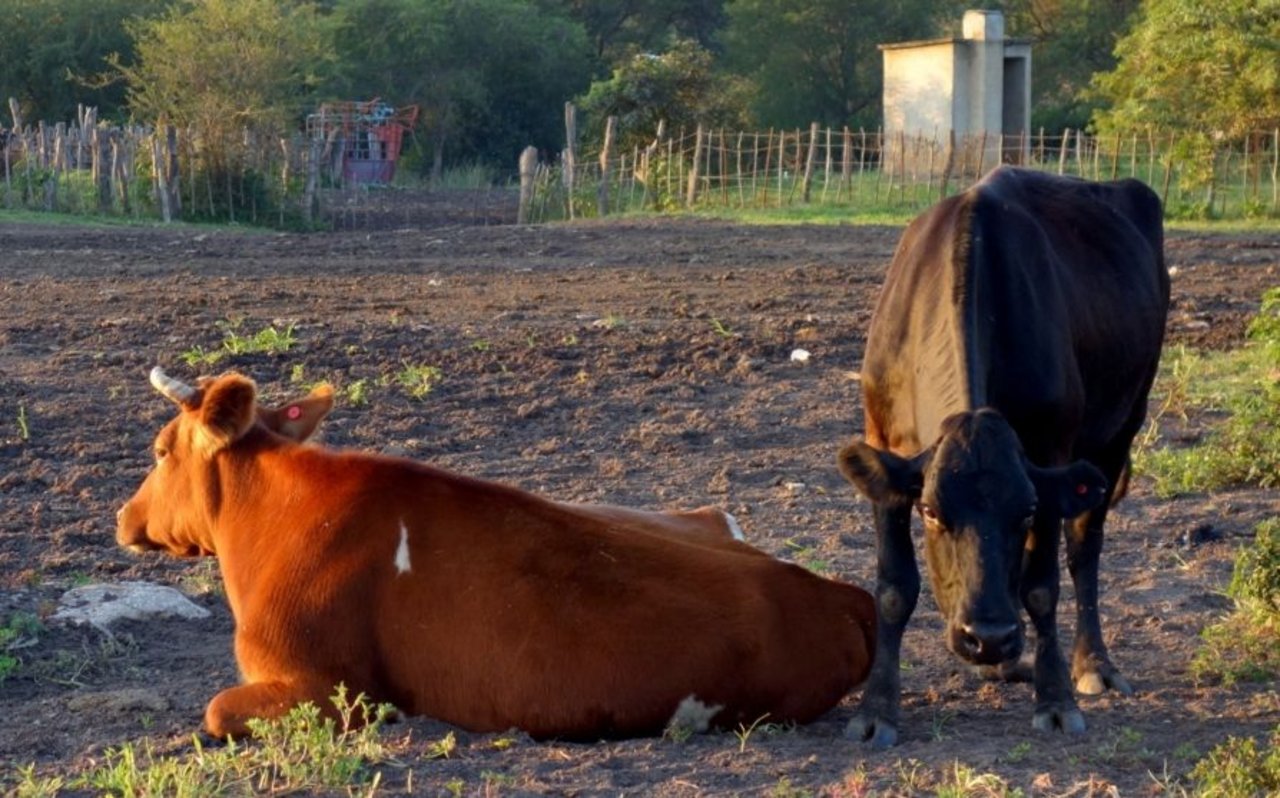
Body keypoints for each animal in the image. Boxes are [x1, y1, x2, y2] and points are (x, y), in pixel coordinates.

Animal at [120, 368, 875, 742]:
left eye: (159, 451)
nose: (123, 516)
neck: (278, 518)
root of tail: (839, 592)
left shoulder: (331, 691)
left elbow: (217, 711)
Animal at [839, 166, 1172, 748]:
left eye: (1026, 510)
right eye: (931, 511)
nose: (989, 637)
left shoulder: (1052, 455)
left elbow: (1042, 586)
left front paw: (1055, 698)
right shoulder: (883, 445)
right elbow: (895, 587)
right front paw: (877, 710)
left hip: (1121, 429)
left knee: (1084, 549)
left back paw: (1091, 663)